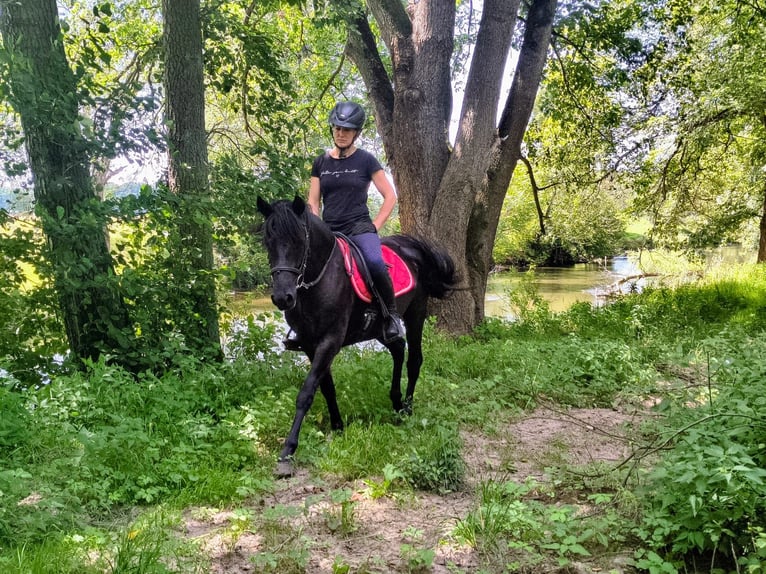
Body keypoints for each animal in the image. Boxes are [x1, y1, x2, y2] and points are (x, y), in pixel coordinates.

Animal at [256, 196, 457, 477]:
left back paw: (407, 408)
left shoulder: (330, 341)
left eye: (298, 241)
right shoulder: (310, 344)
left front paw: (288, 450)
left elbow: (306, 392)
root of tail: (411, 248)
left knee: (414, 359)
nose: (282, 297)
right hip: (380, 328)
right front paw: (338, 426)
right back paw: (396, 403)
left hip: (416, 314)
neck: (319, 280)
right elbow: (326, 387)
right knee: (398, 348)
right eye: (268, 241)